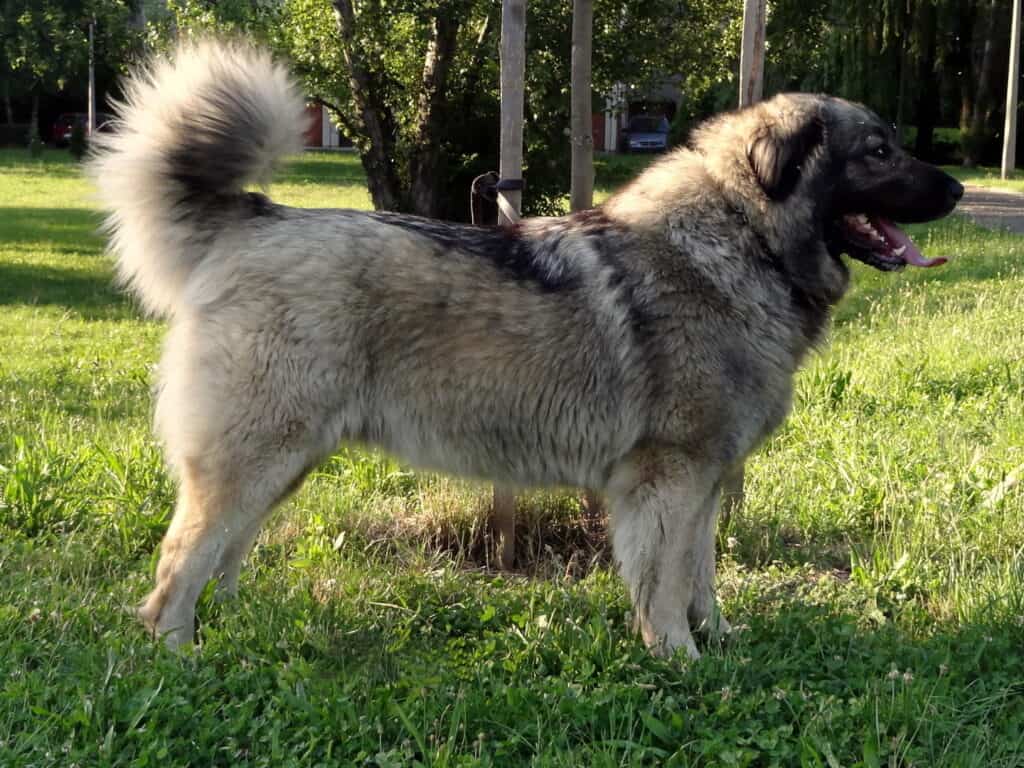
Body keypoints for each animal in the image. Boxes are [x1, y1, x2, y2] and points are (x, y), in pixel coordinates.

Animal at [88, 39, 958, 659]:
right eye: (878, 151)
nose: (954, 188)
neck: (746, 237)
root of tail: (254, 219)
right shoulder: (669, 478)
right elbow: (667, 581)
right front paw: (679, 659)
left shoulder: (705, 482)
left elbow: (701, 576)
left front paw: (717, 642)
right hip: (255, 457)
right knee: (176, 572)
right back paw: (182, 657)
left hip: (281, 462)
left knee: (221, 558)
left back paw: (231, 634)